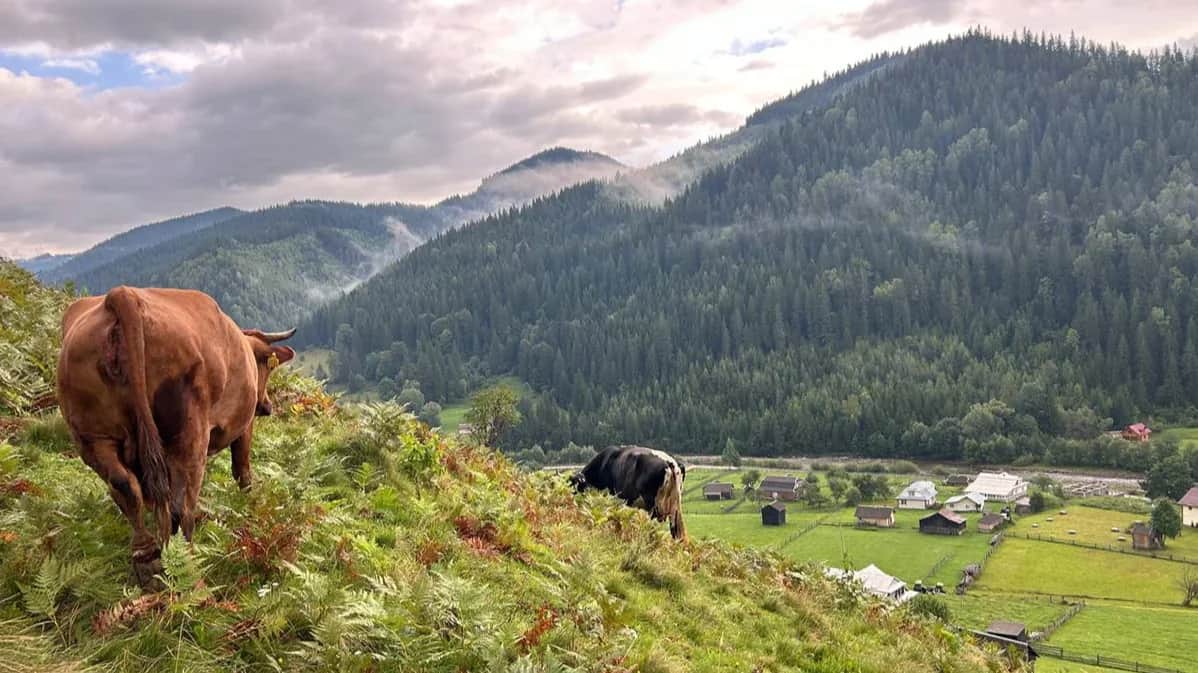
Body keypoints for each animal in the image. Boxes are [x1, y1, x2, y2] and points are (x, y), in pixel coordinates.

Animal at [56, 286, 296, 587]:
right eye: (269, 368)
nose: (266, 406)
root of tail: (123, 295)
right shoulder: (244, 425)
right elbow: (243, 470)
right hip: (188, 432)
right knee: (180, 508)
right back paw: (188, 569)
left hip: (92, 436)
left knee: (124, 487)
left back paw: (147, 557)